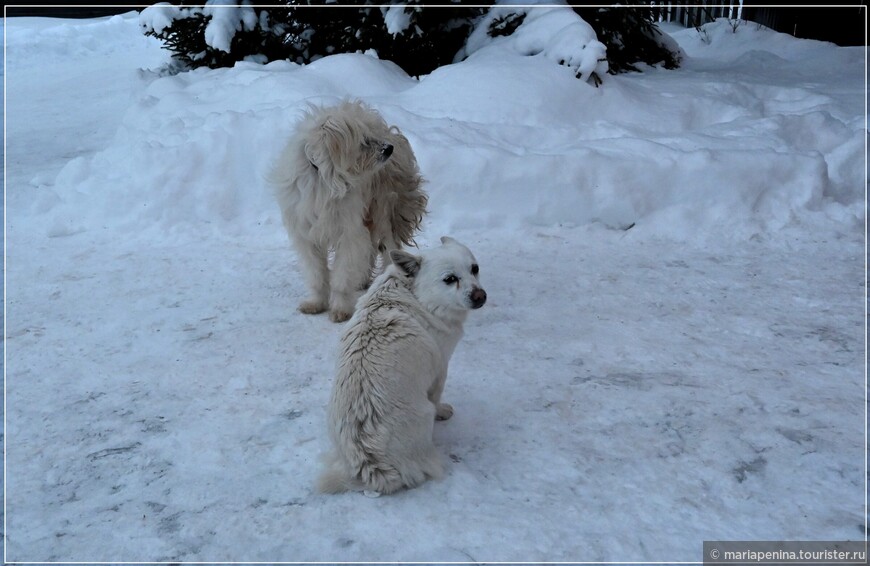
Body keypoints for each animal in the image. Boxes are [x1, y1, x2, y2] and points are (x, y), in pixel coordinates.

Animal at [268, 101, 428, 324]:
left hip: (384, 210)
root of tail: (393, 134)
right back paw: (362, 279)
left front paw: (340, 308)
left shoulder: (348, 232)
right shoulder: (307, 235)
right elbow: (317, 274)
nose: (389, 149)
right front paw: (316, 303)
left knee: (388, 247)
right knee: (370, 247)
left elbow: (342, 277)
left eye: (371, 135)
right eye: (364, 140)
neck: (325, 178)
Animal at [318, 236, 488, 496]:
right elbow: (437, 397)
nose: (480, 296)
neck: (415, 294)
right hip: (424, 416)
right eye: (450, 279)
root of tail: (369, 463)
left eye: (474, 268)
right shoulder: (440, 367)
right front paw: (443, 412)